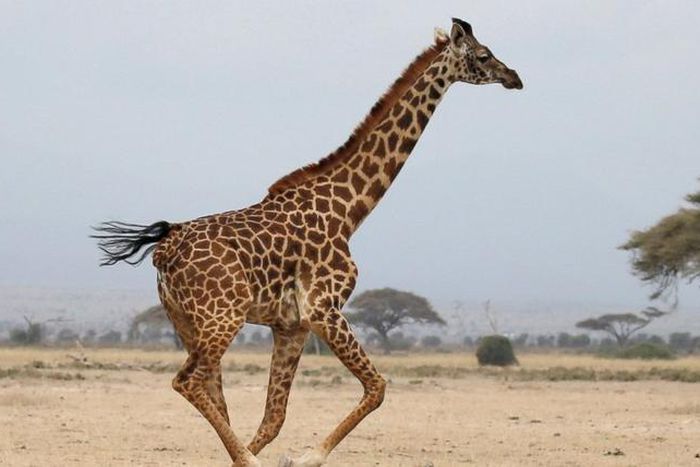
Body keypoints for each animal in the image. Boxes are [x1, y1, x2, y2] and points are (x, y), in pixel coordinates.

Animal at [93, 18, 522, 467]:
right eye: (484, 55)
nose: (514, 77)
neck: (349, 211)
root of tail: (165, 249)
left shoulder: (292, 325)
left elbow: (274, 417)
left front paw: (270, 453)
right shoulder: (324, 308)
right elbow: (377, 387)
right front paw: (305, 456)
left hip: (186, 321)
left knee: (211, 391)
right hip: (223, 316)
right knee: (187, 381)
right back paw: (250, 460)